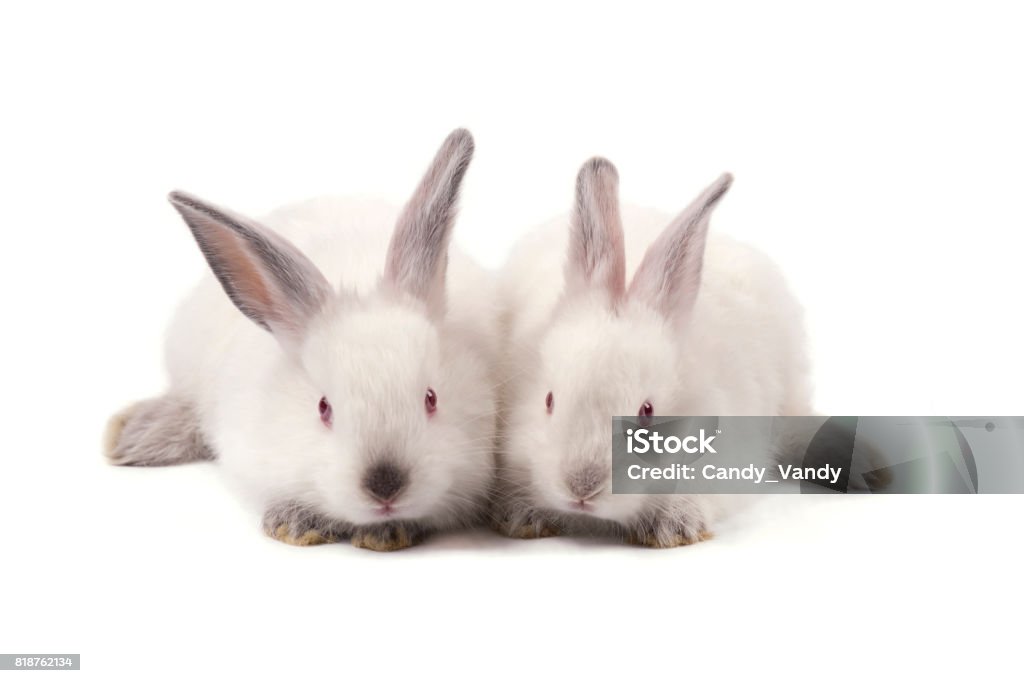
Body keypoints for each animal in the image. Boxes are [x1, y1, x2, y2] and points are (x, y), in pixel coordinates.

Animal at [104, 129, 499, 552]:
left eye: (431, 398)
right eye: (323, 408)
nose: (385, 486)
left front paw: (385, 533)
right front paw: (295, 524)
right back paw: (132, 436)